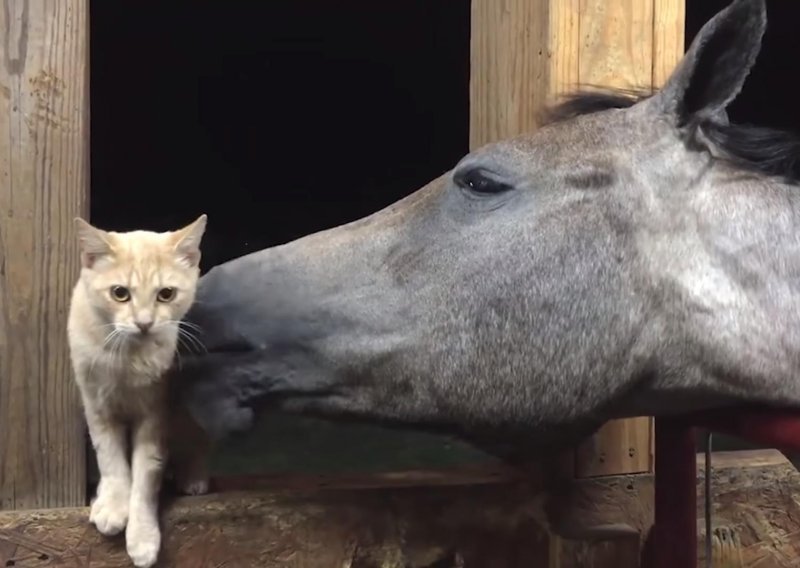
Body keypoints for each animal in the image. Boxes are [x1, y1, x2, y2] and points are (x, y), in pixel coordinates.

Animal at [67, 214, 209, 568]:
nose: (144, 323)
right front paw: (112, 505)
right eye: (120, 293)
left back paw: (193, 477)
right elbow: (110, 458)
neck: (126, 360)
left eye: (166, 294)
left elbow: (146, 473)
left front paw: (142, 535)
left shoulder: (156, 414)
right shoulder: (97, 407)